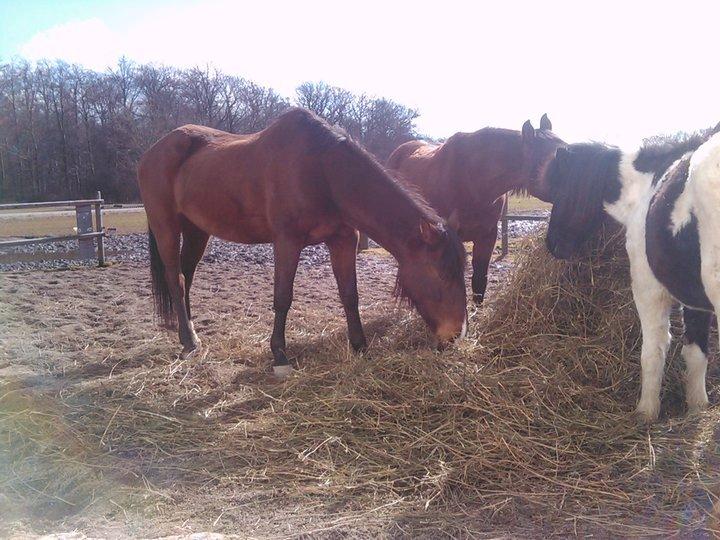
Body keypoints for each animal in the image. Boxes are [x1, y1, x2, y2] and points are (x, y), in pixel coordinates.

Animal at [139, 107, 470, 374]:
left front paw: (360, 346)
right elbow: (283, 297)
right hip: (166, 226)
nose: (456, 334)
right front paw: (279, 355)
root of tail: (154, 150)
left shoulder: (343, 240)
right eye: (440, 275)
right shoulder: (287, 241)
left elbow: (350, 295)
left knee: (186, 276)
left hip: (197, 230)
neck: (322, 170)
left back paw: (190, 331)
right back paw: (188, 341)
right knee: (176, 278)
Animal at [544, 127, 720, 422]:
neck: (647, 187)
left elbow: (653, 351)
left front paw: (646, 412)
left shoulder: (648, 289)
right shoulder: (694, 299)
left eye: (561, 189)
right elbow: (696, 354)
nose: (552, 244)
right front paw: (697, 408)